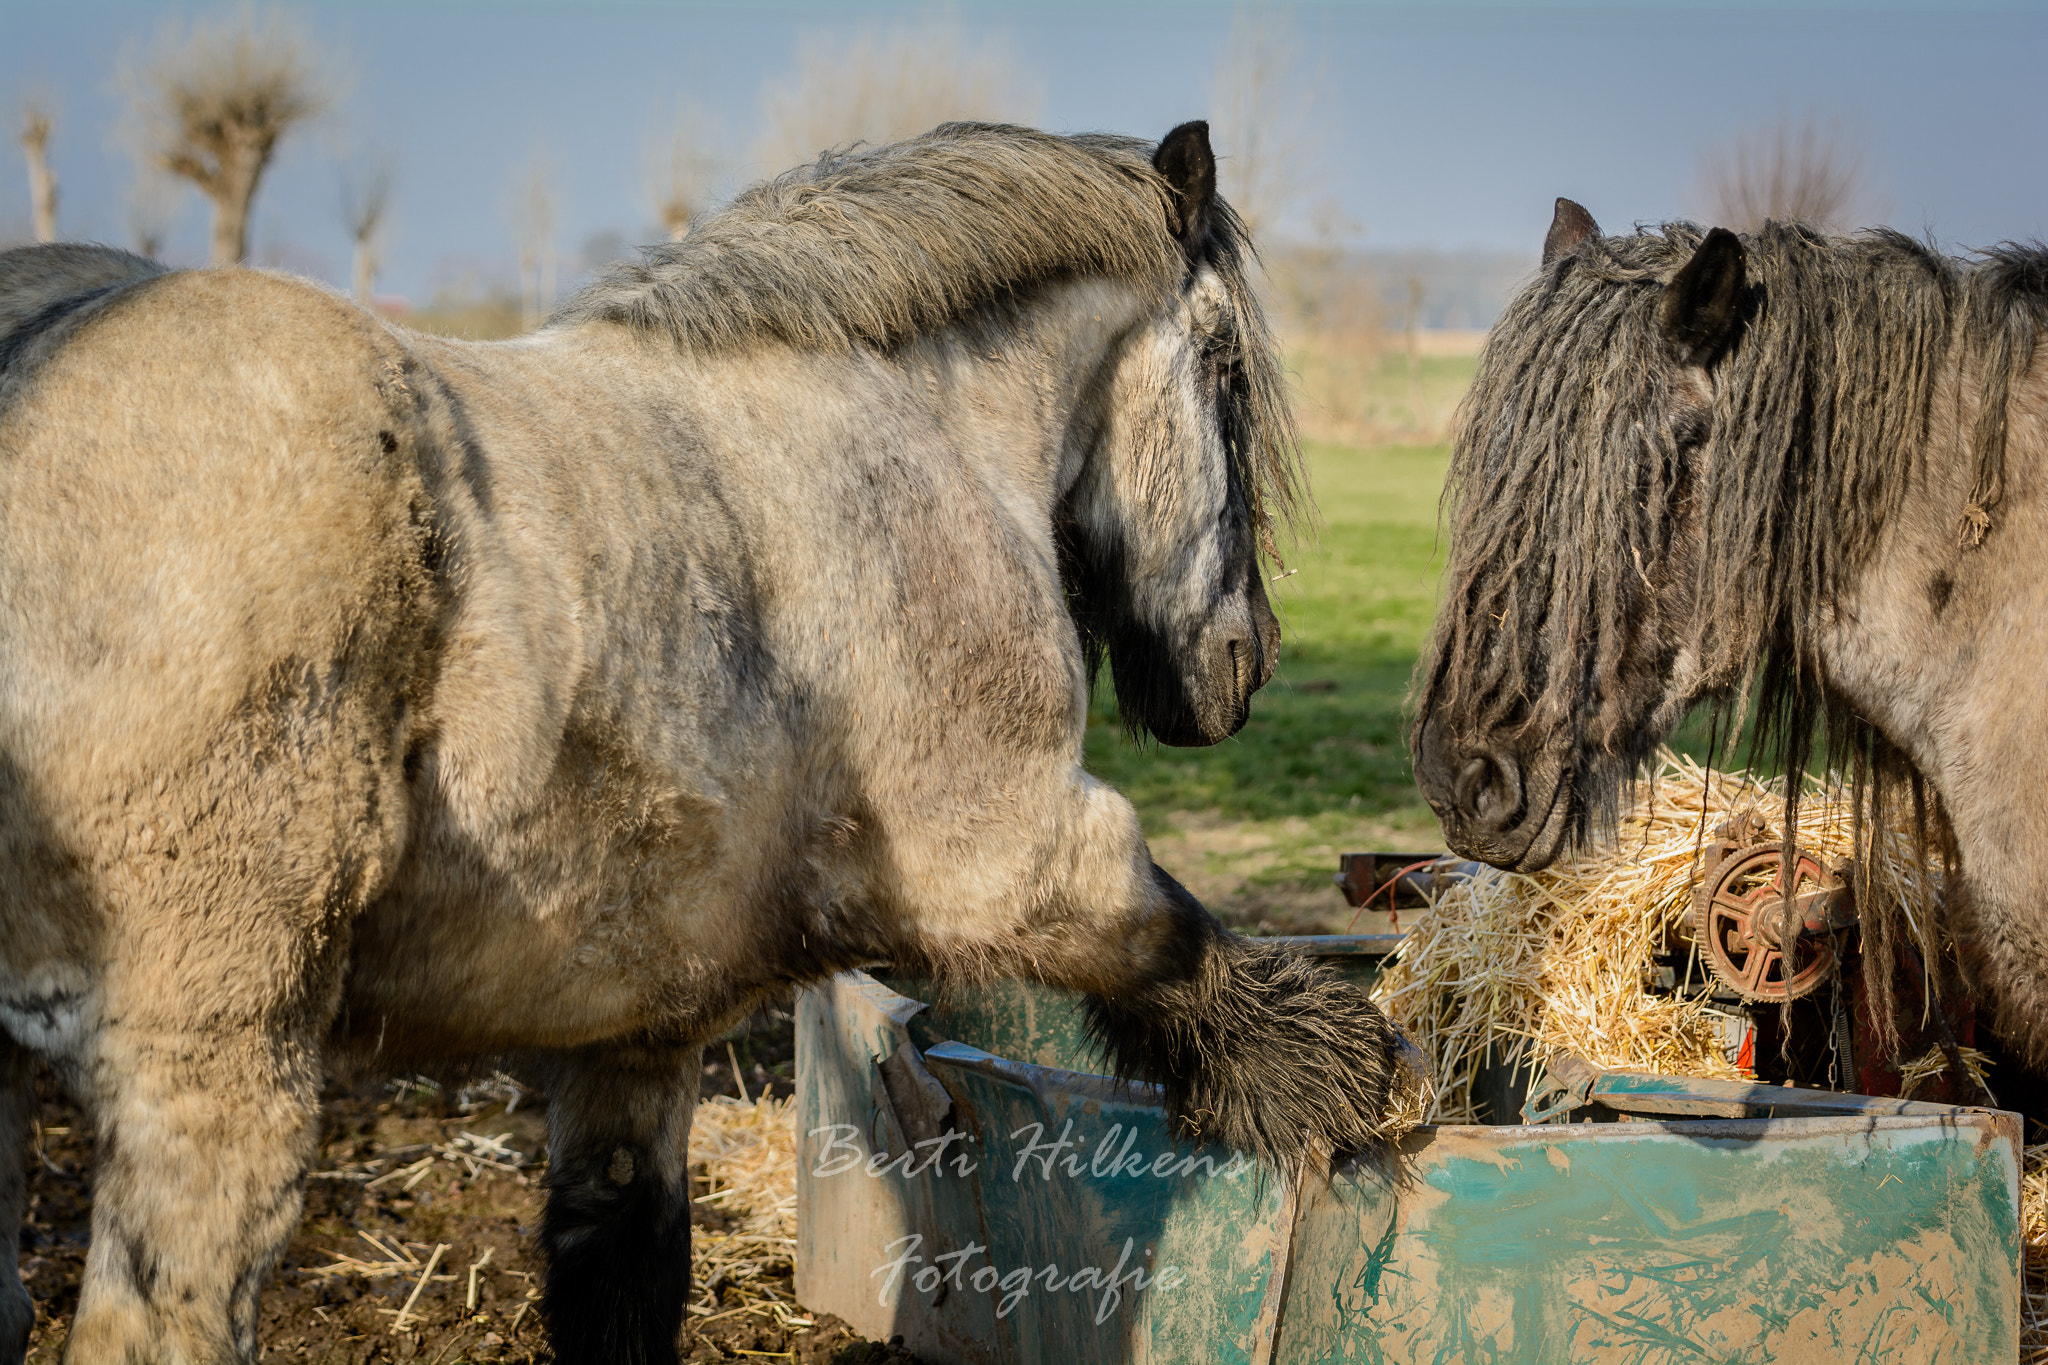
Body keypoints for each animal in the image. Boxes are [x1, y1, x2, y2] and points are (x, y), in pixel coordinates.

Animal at [0, 120, 1409, 1365]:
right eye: (1226, 378)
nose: (1242, 663)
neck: (909, 433)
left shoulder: (633, 1026)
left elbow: (620, 1270)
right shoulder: (1014, 852)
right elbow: (1186, 953)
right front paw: (1353, 1084)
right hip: (216, 1057)